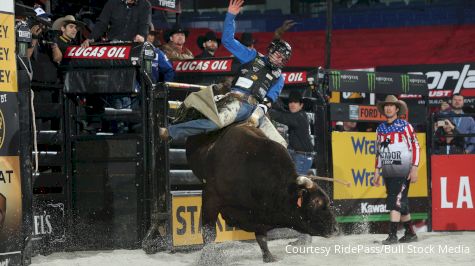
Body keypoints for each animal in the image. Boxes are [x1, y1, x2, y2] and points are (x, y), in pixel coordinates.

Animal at [185, 123, 338, 262]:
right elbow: (209, 232)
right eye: (314, 202)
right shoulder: (211, 197)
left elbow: (261, 238)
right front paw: (207, 258)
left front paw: (268, 256)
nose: (335, 228)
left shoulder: (260, 214)